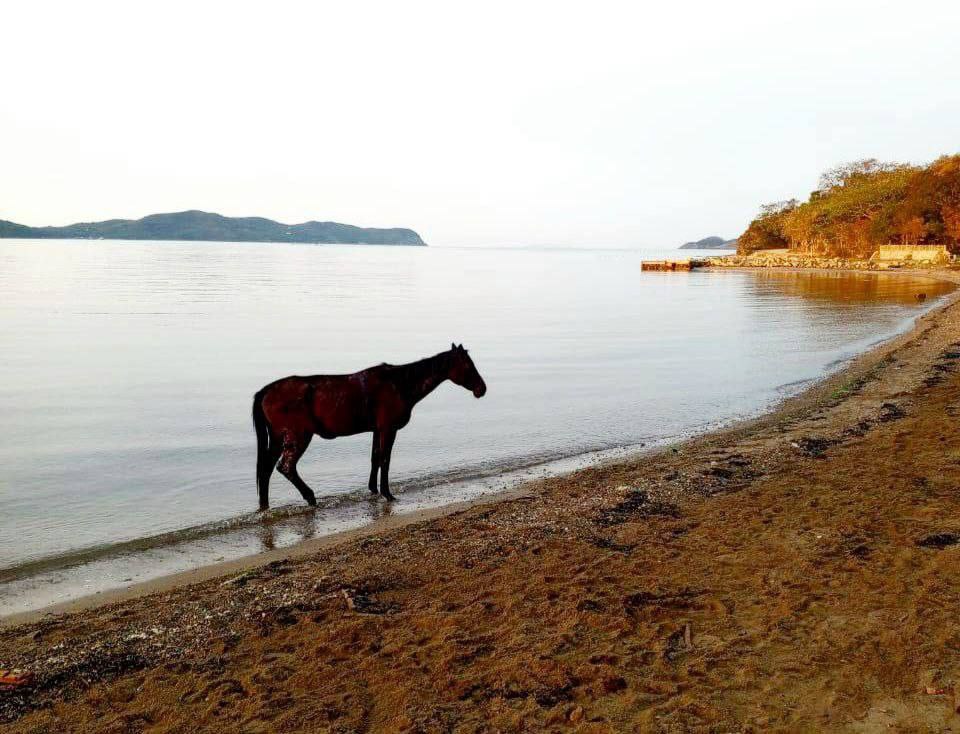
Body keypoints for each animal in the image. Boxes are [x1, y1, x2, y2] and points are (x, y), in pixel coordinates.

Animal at [251, 346, 488, 508]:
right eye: (468, 366)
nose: (481, 389)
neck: (399, 384)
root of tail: (267, 391)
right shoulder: (388, 429)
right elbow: (385, 460)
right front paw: (387, 493)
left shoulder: (377, 430)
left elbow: (375, 458)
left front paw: (374, 489)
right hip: (298, 436)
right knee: (286, 467)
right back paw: (310, 497)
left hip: (278, 437)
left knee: (266, 470)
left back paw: (265, 506)